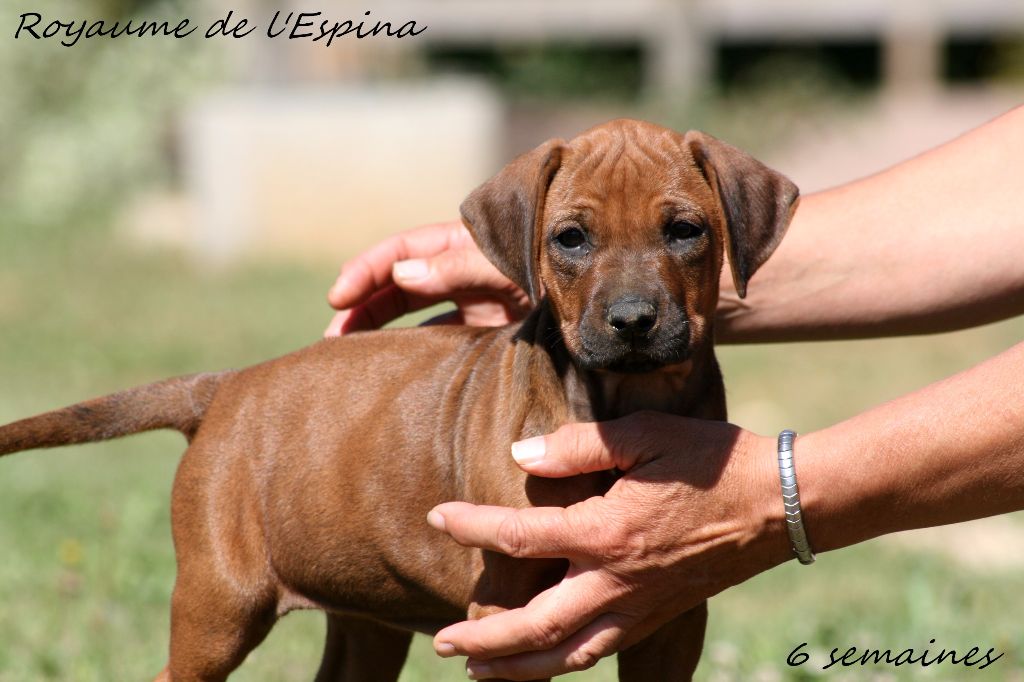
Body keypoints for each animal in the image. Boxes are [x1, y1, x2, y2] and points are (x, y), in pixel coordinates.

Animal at [0, 119, 794, 675]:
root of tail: (225, 386)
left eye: (685, 230)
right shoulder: (505, 612)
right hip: (218, 602)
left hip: (364, 620)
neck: (621, 400)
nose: (632, 320)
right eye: (570, 239)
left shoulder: (671, 614)